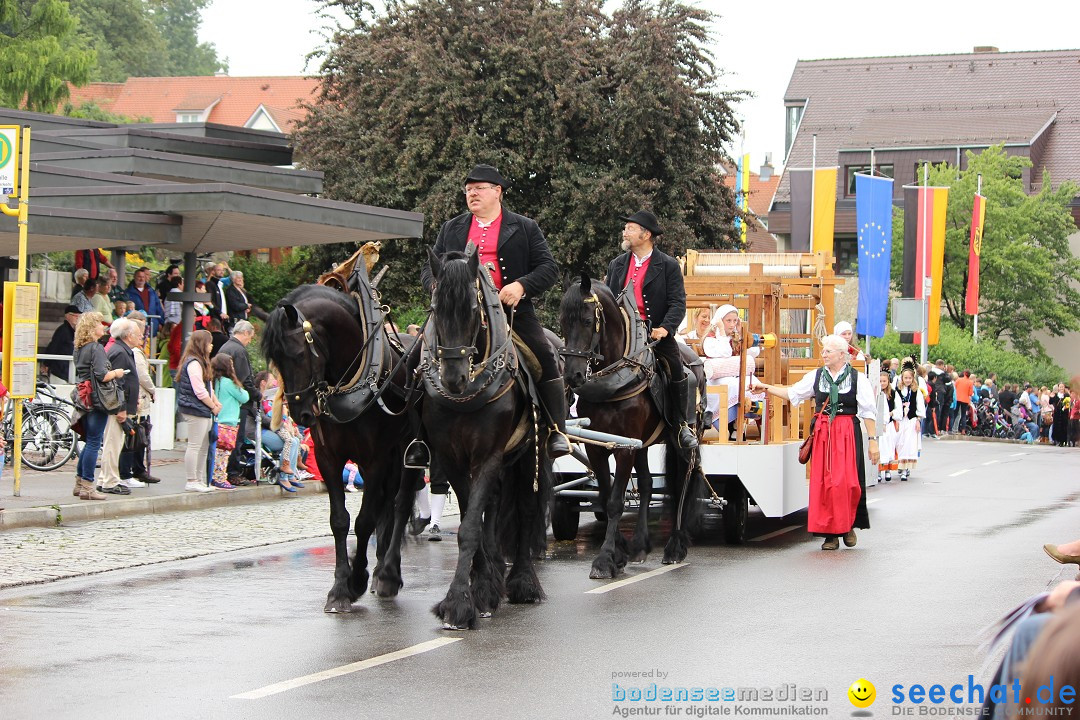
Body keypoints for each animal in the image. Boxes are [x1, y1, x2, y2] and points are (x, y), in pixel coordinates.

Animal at [261, 284, 421, 613]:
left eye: (298, 355)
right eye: (275, 361)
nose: (301, 415)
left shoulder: (375, 459)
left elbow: (364, 521)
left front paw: (356, 580)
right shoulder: (329, 459)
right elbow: (340, 520)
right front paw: (340, 587)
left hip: (407, 451)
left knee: (399, 504)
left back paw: (388, 573)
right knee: (387, 505)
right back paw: (380, 568)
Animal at [421, 245, 552, 626]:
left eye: (472, 308)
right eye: (434, 309)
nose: (453, 379)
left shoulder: (488, 455)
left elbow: (470, 528)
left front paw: (458, 603)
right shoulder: (452, 458)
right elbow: (472, 520)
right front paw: (478, 589)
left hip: (529, 455)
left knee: (526, 509)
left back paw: (523, 581)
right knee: (493, 506)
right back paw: (493, 576)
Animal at [557, 276, 699, 578]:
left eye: (587, 320)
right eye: (562, 320)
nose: (573, 376)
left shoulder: (624, 447)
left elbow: (614, 502)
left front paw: (604, 559)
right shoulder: (599, 447)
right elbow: (605, 493)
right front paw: (619, 552)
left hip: (685, 439)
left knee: (683, 481)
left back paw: (675, 546)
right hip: (643, 445)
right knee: (646, 484)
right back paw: (640, 545)